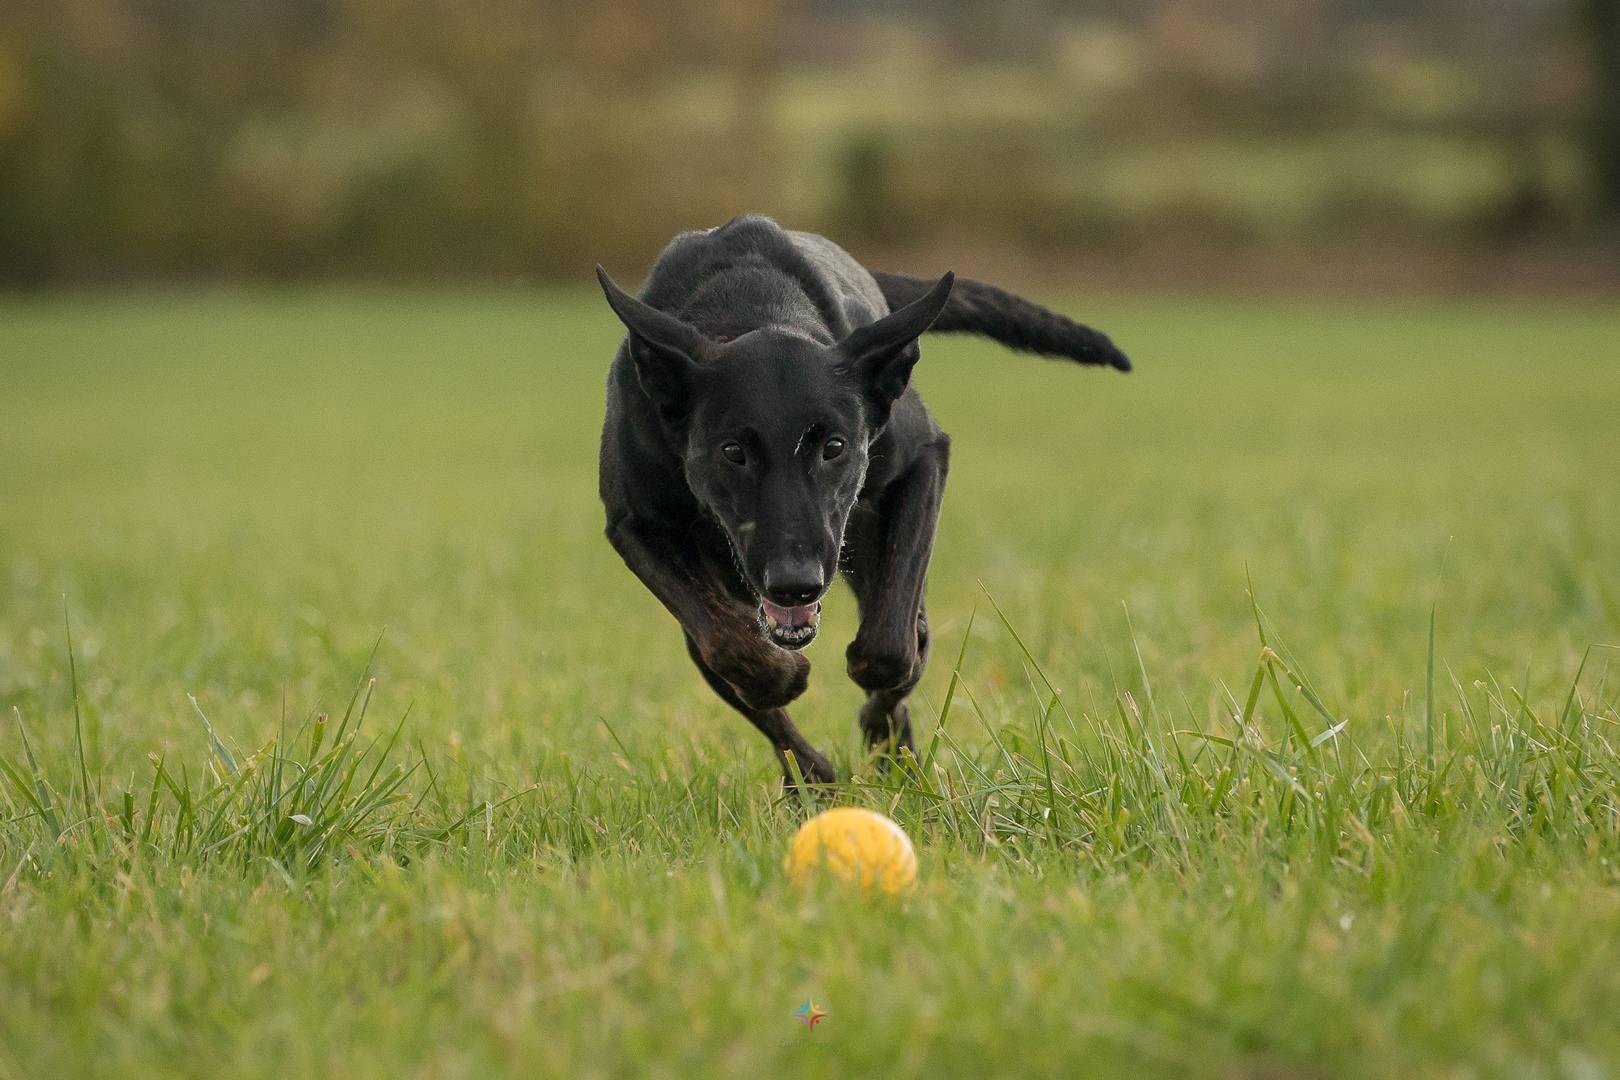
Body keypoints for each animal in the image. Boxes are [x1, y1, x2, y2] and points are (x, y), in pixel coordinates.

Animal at [596, 215, 1127, 790]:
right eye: (732, 451)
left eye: (834, 447)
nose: (794, 584)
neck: (747, 307)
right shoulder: (636, 527)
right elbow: (731, 649)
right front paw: (782, 680)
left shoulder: (923, 459)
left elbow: (890, 650)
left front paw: (876, 717)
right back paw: (813, 779)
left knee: (906, 634)